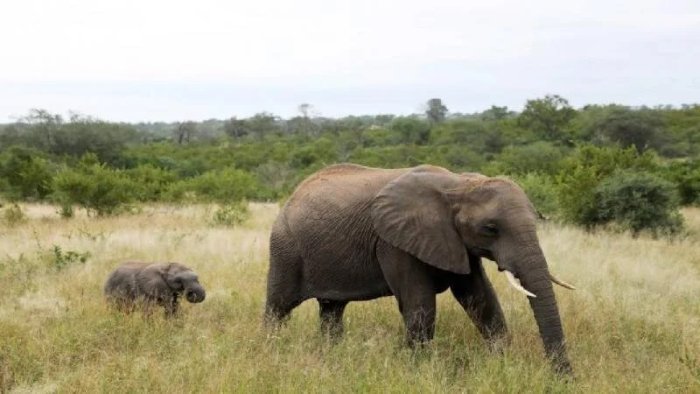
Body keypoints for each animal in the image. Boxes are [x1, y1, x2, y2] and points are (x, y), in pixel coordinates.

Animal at [262, 163, 576, 372]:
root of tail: (292, 194)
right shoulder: (394, 242)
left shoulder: (456, 243)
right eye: (490, 228)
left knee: (332, 310)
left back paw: (333, 356)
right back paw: (270, 350)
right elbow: (420, 307)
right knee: (279, 306)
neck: (458, 185)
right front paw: (417, 372)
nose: (563, 378)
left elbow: (480, 299)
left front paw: (501, 365)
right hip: (285, 247)